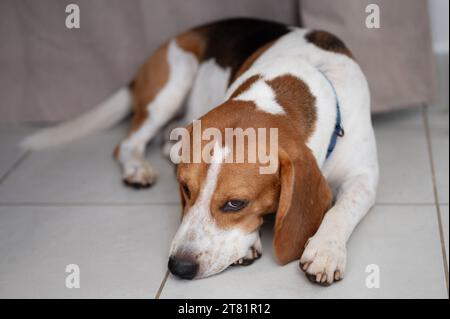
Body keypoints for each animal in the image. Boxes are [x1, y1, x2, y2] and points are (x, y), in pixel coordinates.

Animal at [22, 18, 378, 286]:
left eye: (236, 203)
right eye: (184, 188)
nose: (178, 268)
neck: (308, 70)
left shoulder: (366, 177)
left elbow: (341, 209)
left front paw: (326, 249)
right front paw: (249, 243)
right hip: (173, 80)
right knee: (127, 143)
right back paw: (137, 167)